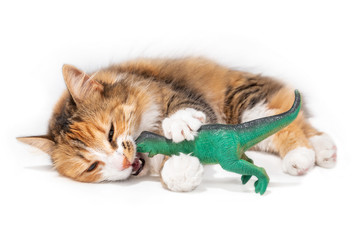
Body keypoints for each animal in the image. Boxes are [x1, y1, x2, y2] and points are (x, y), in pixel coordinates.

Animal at [17, 56, 338, 191]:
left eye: (110, 132)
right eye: (91, 167)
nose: (124, 162)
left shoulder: (180, 93)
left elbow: (182, 110)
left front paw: (180, 125)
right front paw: (182, 172)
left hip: (245, 105)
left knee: (290, 123)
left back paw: (301, 157)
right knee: (300, 125)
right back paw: (323, 151)